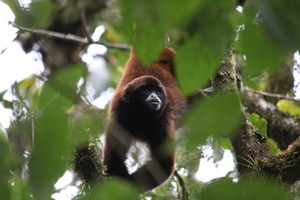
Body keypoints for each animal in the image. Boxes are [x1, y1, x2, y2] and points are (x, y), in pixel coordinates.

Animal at [103, 47, 188, 191]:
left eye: (158, 92)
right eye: (147, 90)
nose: (155, 96)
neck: (141, 117)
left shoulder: (163, 119)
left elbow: (163, 165)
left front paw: (128, 183)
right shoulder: (118, 112)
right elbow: (113, 158)